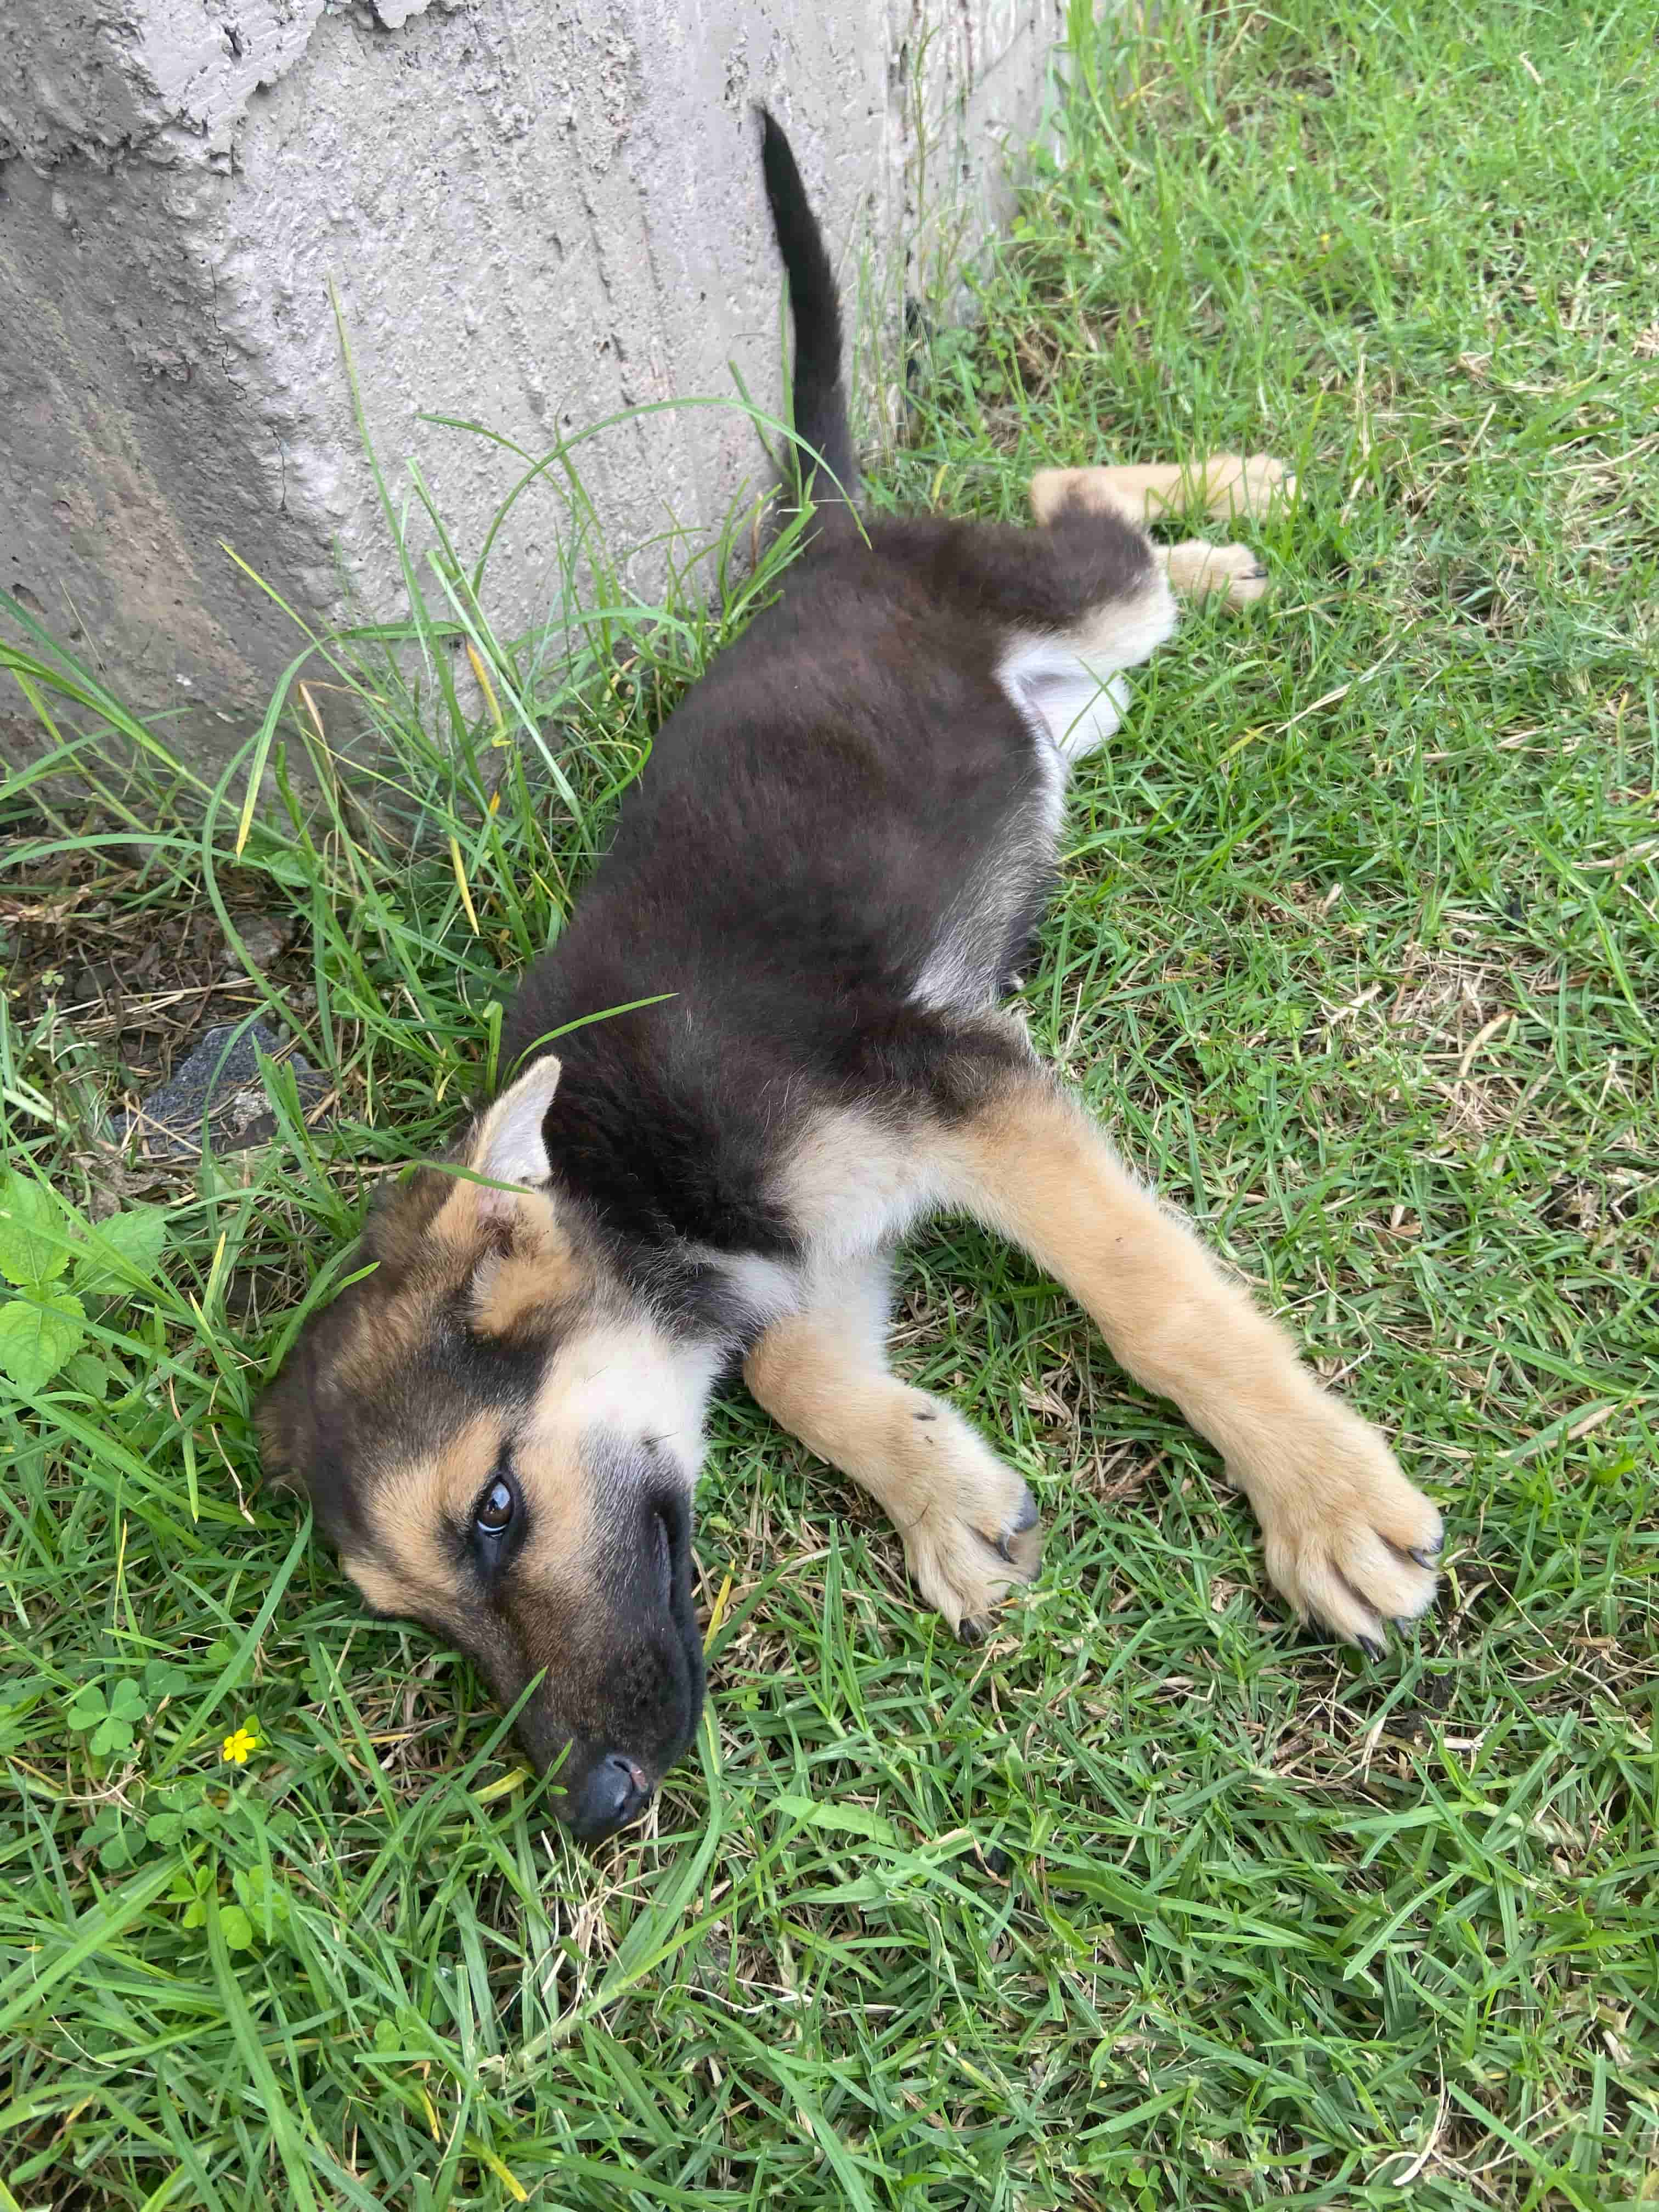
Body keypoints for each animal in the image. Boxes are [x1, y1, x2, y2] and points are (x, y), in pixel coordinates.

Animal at [259, 116, 1442, 1849]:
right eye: (410, 1611)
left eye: (495, 1507)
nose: (594, 1804)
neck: (628, 1176)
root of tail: (829, 537)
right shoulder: (821, 1234)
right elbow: (801, 1370)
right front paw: (943, 1488)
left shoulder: (967, 1093)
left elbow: (1154, 1302)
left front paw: (1321, 1497)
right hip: (1073, 711)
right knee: (1076, 506)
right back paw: (1227, 548)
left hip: (1081, 612)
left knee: (1077, 501)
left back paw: (1232, 501)